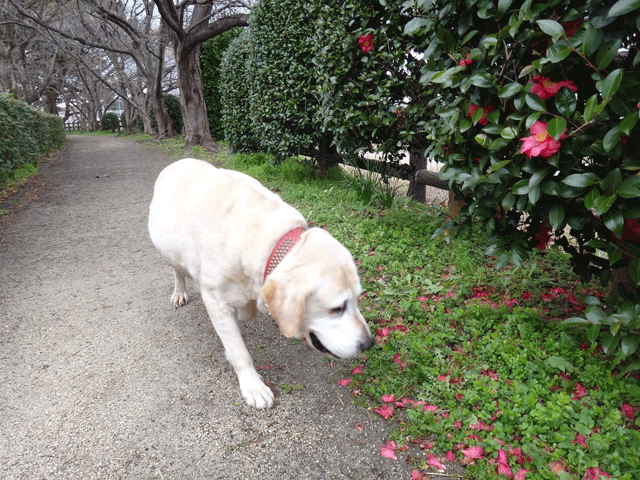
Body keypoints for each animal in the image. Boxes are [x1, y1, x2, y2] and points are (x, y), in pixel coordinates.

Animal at [149, 159, 376, 406]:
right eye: (337, 308)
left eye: (358, 299)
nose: (369, 344)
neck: (268, 241)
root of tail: (179, 161)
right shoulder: (215, 300)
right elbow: (239, 351)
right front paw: (253, 386)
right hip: (168, 251)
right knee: (177, 271)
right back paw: (179, 292)